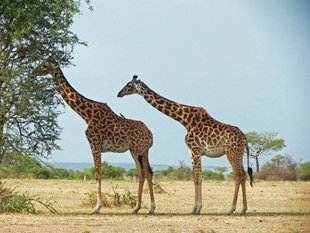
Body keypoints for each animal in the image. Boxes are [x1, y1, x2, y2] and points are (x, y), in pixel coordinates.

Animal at [31, 63, 155, 215]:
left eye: (44, 65)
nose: (32, 73)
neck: (86, 115)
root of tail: (150, 133)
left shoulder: (94, 144)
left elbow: (97, 174)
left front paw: (97, 208)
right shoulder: (96, 145)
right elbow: (98, 174)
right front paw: (98, 206)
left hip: (138, 150)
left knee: (145, 172)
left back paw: (150, 208)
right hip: (137, 151)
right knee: (144, 173)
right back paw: (138, 208)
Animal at [117, 75, 253, 216]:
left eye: (128, 85)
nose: (119, 94)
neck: (185, 120)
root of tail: (245, 139)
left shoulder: (196, 150)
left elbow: (198, 178)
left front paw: (198, 209)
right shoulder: (192, 152)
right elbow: (195, 178)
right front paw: (194, 209)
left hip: (231, 153)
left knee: (238, 175)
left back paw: (232, 209)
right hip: (238, 154)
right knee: (243, 175)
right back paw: (243, 209)